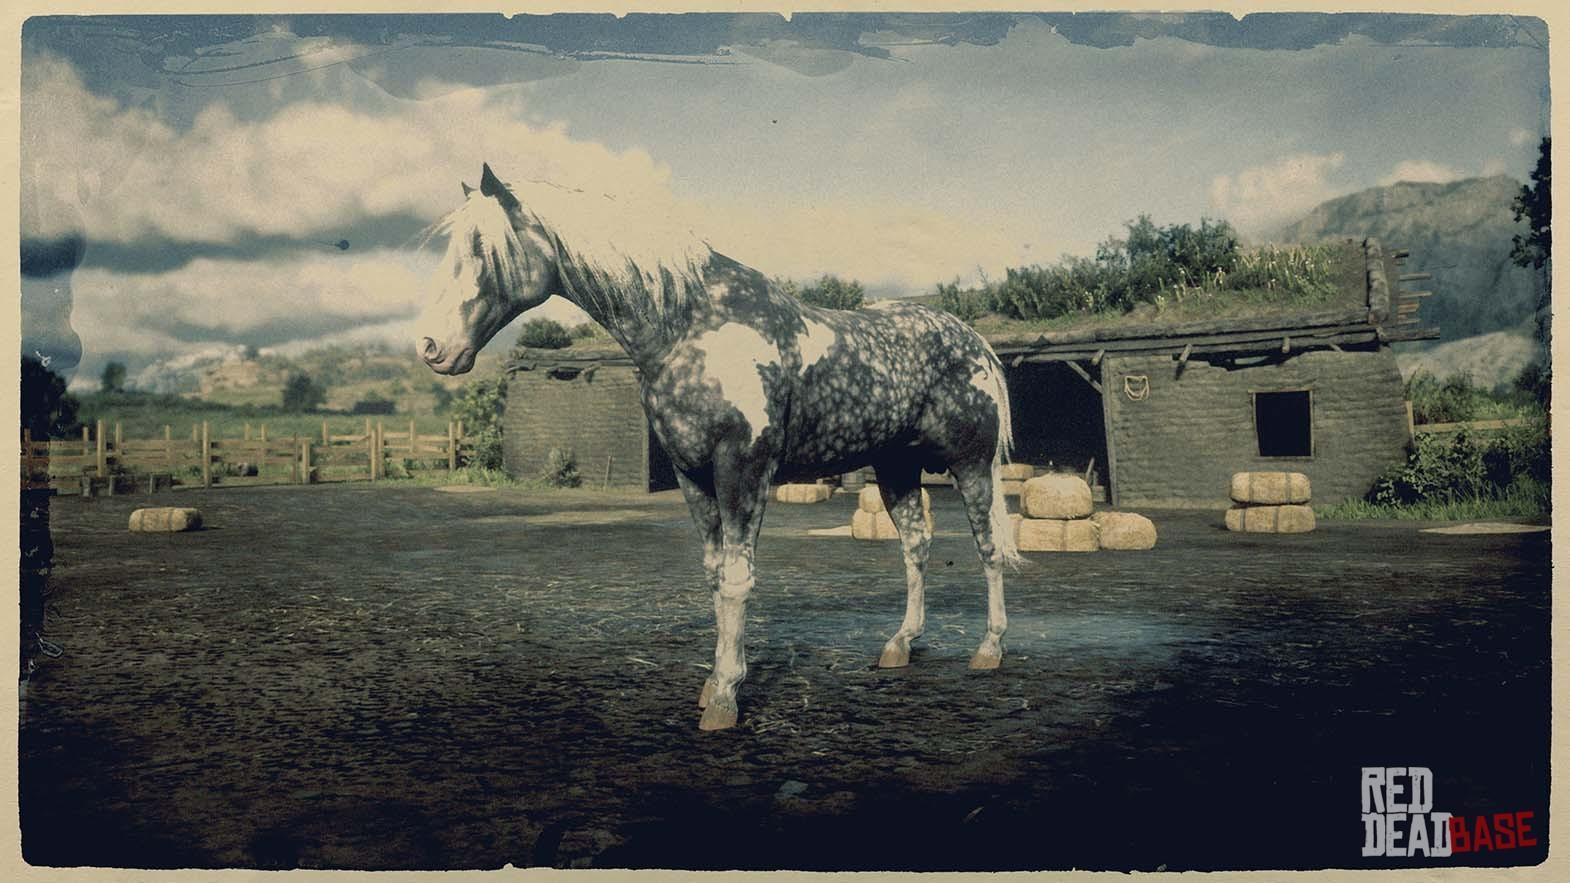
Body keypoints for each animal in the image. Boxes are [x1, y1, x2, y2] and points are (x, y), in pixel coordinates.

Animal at [415, 163, 1021, 731]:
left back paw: (988, 649)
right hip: (896, 468)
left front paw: (726, 697)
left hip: (970, 466)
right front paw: (713, 683)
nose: (431, 347)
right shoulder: (692, 474)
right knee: (916, 546)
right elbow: (713, 574)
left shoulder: (742, 469)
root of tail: (976, 343)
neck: (689, 330)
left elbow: (736, 578)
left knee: (989, 546)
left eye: (482, 247)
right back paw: (899, 645)